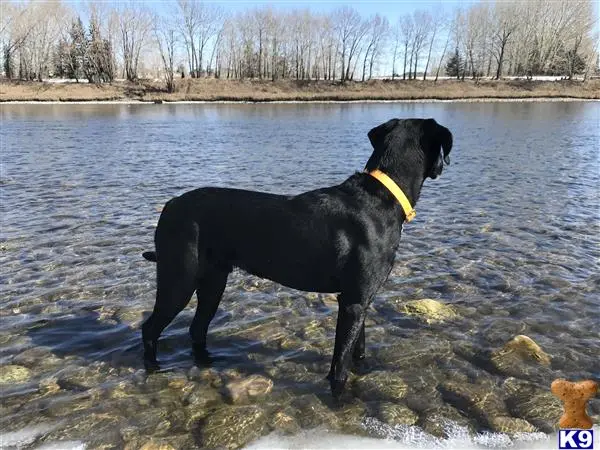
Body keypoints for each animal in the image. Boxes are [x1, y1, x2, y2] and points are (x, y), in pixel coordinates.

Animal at [139, 118, 450, 398]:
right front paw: (338, 397)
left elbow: (357, 349)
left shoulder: (360, 299)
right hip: (179, 279)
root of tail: (170, 206)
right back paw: (153, 368)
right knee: (150, 328)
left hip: (214, 281)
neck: (383, 195)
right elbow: (340, 364)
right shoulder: (352, 302)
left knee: (197, 329)